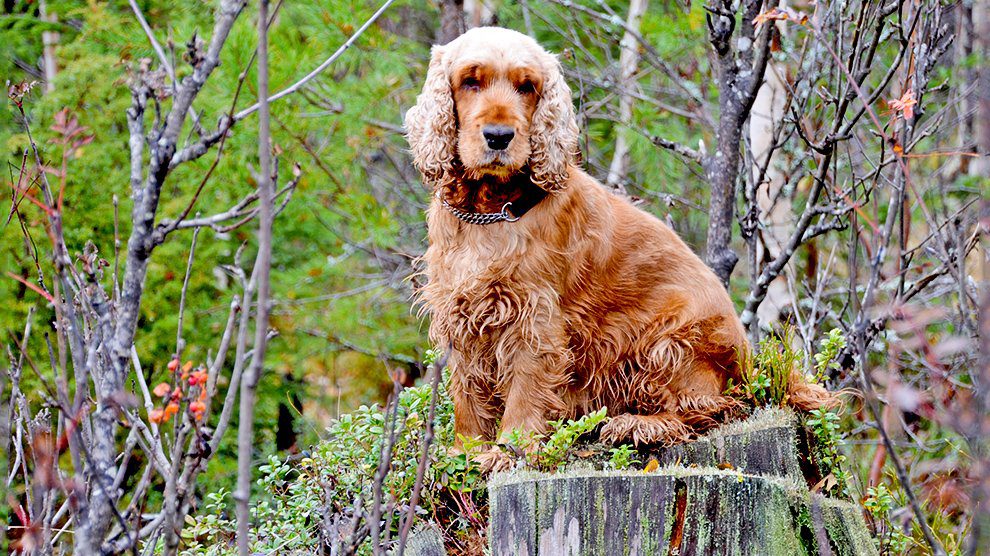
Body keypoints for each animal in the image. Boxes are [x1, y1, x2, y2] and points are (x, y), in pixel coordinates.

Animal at [406, 26, 832, 460]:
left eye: (527, 87)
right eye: (470, 81)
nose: (498, 136)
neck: (491, 209)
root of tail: (748, 362)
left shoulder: (533, 317)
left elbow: (525, 388)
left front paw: (508, 451)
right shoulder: (460, 310)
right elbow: (467, 394)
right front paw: (464, 453)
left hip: (669, 344)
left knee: (706, 408)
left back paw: (636, 425)